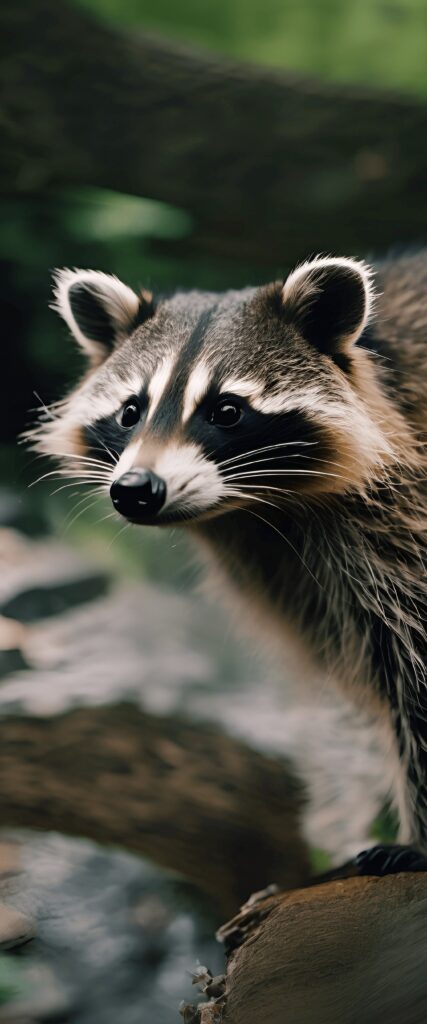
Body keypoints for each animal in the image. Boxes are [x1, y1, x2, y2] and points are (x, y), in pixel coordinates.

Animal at [30, 252, 427, 870]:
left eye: (226, 411)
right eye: (130, 411)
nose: (135, 489)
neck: (262, 508)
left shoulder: (395, 531)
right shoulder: (298, 580)